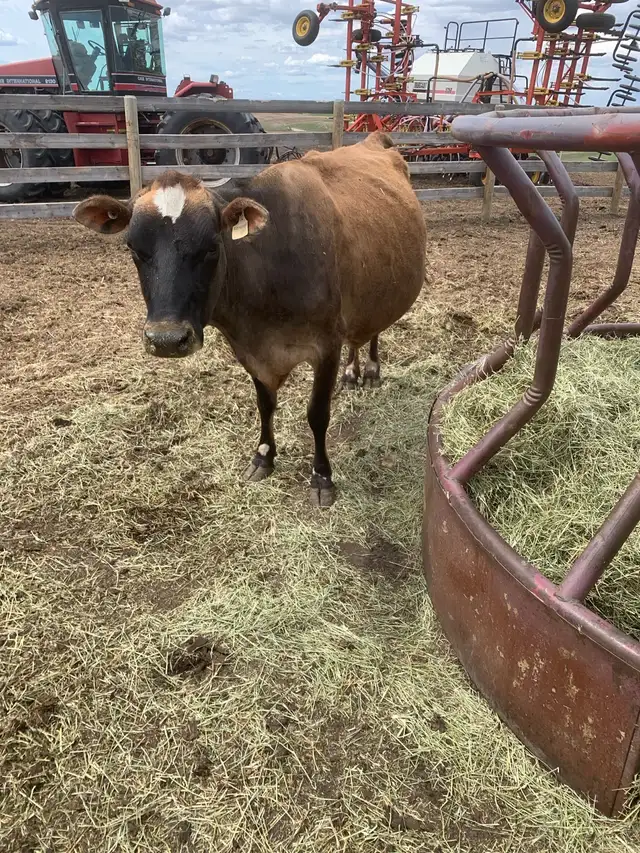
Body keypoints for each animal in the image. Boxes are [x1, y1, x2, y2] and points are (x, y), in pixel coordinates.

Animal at [72, 131, 427, 507]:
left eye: (212, 247)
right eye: (134, 249)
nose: (167, 340)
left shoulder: (326, 345)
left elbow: (317, 414)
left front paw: (322, 476)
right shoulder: (249, 350)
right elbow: (265, 404)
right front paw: (263, 456)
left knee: (372, 330)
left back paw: (370, 369)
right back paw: (352, 371)